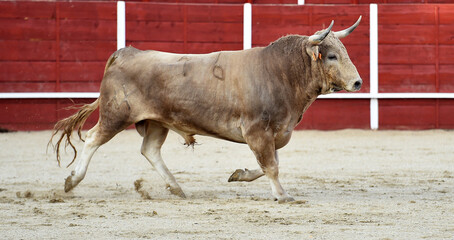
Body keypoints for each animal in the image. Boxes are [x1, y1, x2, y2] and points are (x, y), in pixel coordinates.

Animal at [48, 16, 362, 202]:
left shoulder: (275, 132)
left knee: (150, 150)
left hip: (157, 121)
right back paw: (72, 181)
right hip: (116, 115)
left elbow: (269, 163)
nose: (358, 82)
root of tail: (126, 52)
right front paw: (282, 195)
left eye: (344, 52)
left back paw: (176, 188)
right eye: (331, 56)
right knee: (92, 139)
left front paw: (239, 174)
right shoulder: (257, 131)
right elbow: (271, 165)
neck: (281, 72)